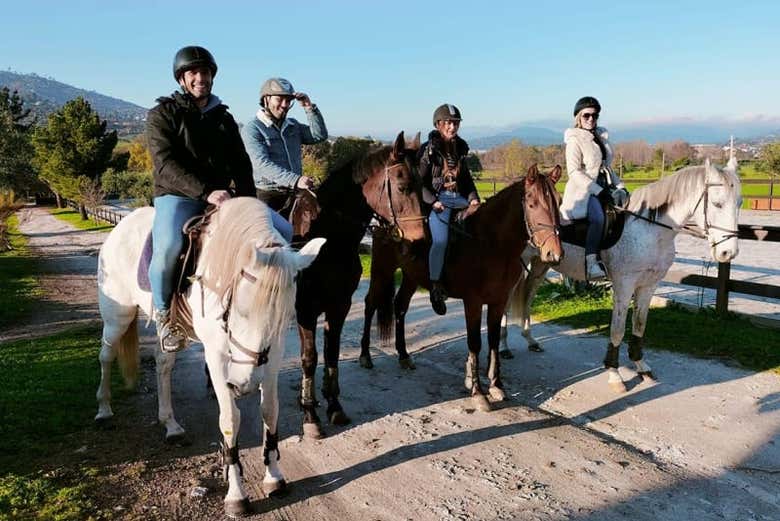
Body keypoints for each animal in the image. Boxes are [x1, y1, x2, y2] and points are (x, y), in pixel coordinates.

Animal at [96, 197, 324, 516]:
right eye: (242, 310)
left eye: (283, 318)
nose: (243, 384)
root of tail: (120, 228)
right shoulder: (217, 357)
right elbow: (230, 419)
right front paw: (236, 495)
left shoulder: (273, 353)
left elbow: (270, 410)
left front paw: (274, 477)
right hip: (117, 316)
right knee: (105, 355)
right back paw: (103, 410)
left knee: (162, 365)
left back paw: (171, 425)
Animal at [292, 132, 426, 436]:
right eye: (403, 186)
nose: (421, 242)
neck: (327, 238)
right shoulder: (306, 309)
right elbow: (309, 357)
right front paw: (310, 416)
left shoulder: (339, 305)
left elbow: (331, 354)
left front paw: (333, 405)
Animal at [360, 166, 560, 410]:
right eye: (532, 205)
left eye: (559, 202)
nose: (553, 253)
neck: (491, 243)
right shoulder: (472, 302)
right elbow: (475, 343)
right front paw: (478, 392)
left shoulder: (499, 301)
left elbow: (493, 341)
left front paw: (496, 385)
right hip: (382, 269)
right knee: (371, 304)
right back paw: (365, 356)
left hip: (411, 276)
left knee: (400, 307)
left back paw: (404, 355)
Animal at [506, 156, 736, 392]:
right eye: (717, 204)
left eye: (739, 203)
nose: (728, 253)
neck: (648, 229)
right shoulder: (624, 286)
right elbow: (617, 330)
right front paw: (614, 373)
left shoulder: (649, 286)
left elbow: (639, 325)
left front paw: (641, 365)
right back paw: (505, 348)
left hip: (541, 264)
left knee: (528, 296)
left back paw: (530, 340)